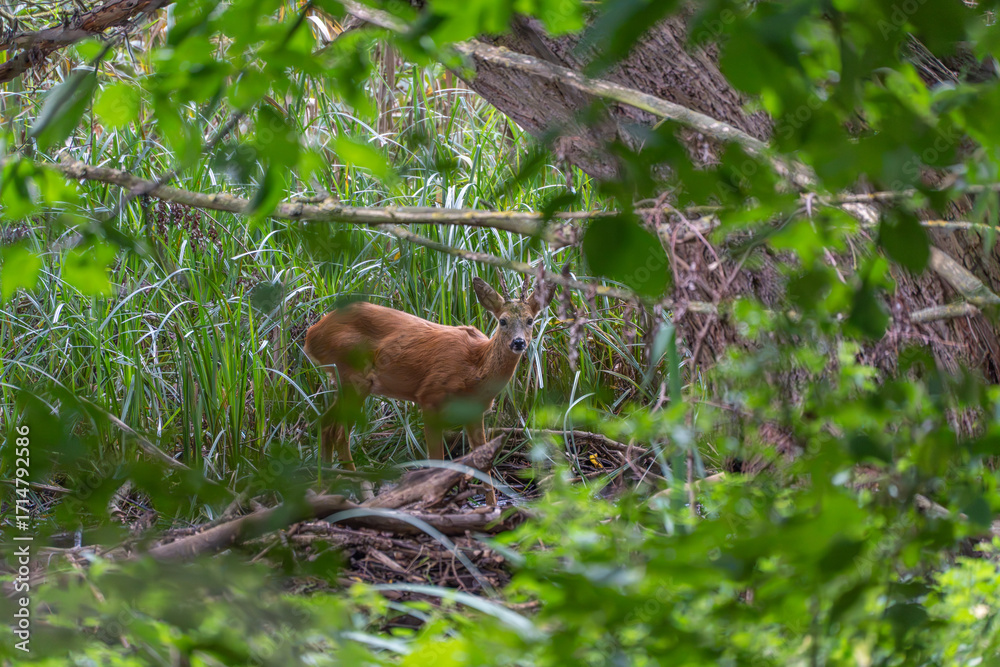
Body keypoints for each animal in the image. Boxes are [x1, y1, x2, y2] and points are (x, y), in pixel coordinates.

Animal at [304, 274, 554, 501]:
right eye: (502, 321)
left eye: (530, 320)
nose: (518, 342)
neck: (475, 369)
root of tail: (311, 335)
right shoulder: (430, 396)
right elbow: (437, 460)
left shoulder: (474, 412)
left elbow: (484, 465)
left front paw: (492, 511)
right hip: (355, 376)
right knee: (338, 432)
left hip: (344, 380)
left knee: (325, 423)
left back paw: (326, 485)